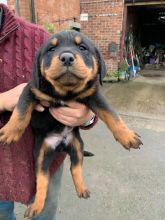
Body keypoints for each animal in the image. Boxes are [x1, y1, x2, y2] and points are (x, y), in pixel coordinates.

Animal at [0, 30, 142, 217]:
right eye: (51, 49)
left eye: (82, 48)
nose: (67, 57)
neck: (65, 93)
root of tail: (61, 145)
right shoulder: (30, 90)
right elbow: (21, 111)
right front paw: (10, 131)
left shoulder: (94, 95)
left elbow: (112, 114)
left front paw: (127, 136)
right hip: (41, 155)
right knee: (42, 180)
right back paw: (36, 205)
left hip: (77, 146)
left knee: (75, 168)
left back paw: (81, 188)